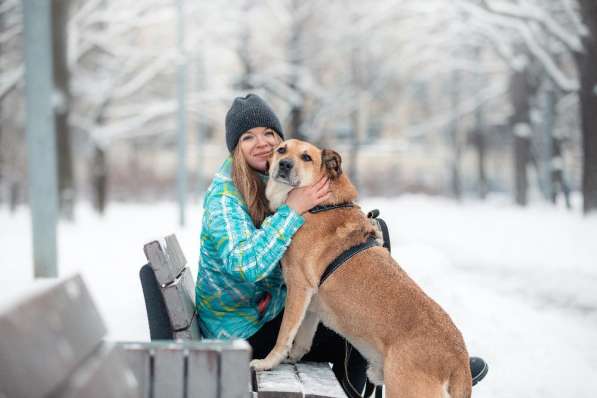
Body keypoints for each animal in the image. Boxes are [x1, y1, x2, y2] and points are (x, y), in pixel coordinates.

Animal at [251, 140, 470, 398]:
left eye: (306, 157)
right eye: (282, 149)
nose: (284, 164)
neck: (317, 206)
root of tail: (458, 359)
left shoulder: (298, 287)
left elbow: (284, 334)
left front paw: (267, 363)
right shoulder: (311, 304)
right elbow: (302, 339)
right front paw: (291, 359)